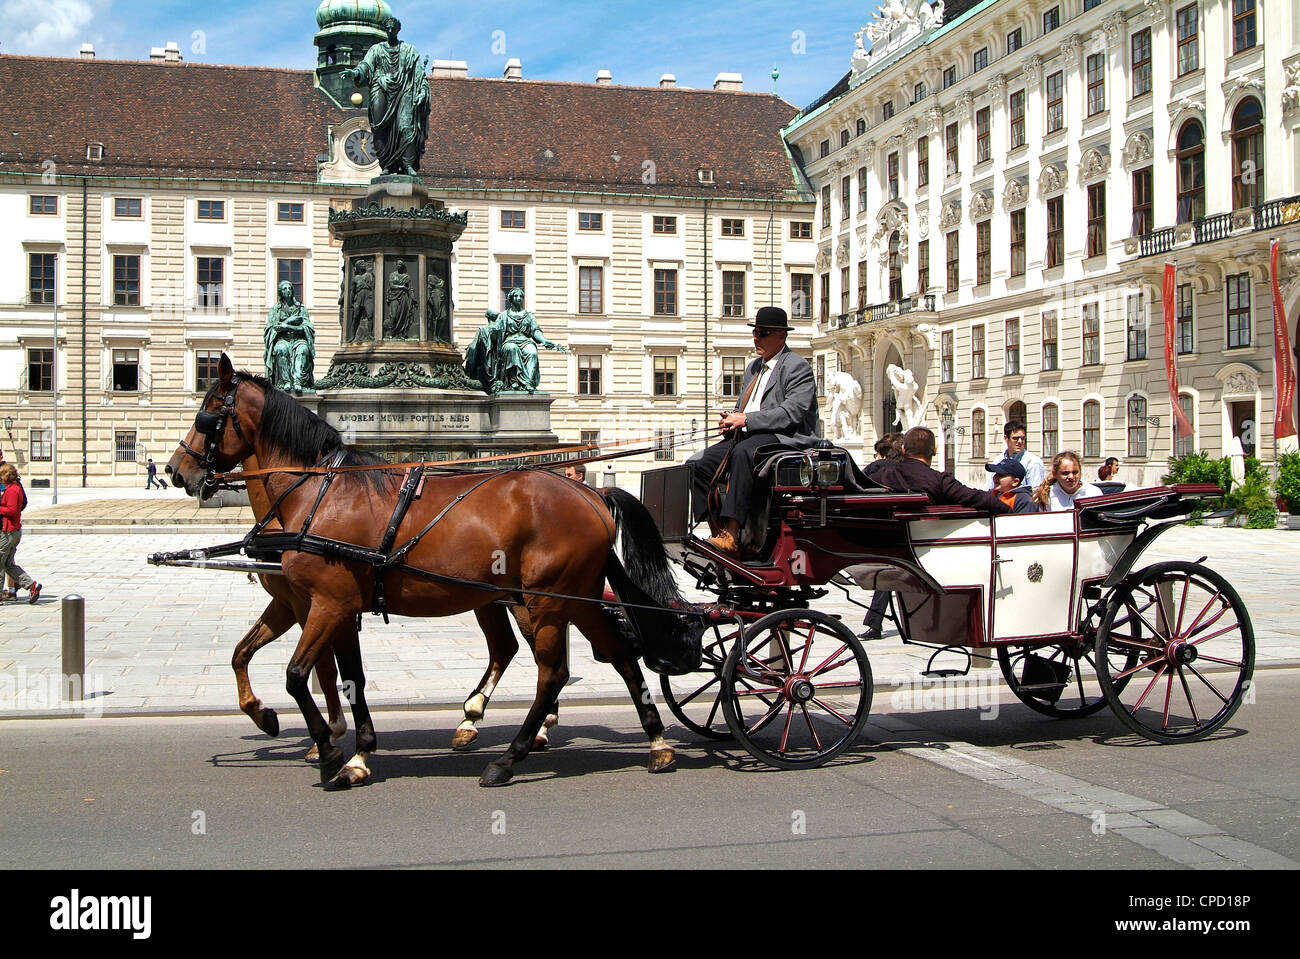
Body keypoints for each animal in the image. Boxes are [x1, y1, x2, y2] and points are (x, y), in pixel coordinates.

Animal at [171, 356, 702, 784]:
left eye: (207, 415)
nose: (178, 471)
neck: (321, 493)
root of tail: (589, 491)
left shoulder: (325, 604)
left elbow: (299, 675)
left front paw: (326, 749)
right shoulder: (333, 607)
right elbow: (333, 674)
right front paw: (353, 752)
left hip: (547, 601)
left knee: (552, 672)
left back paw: (509, 757)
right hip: (571, 599)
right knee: (617, 655)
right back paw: (655, 743)